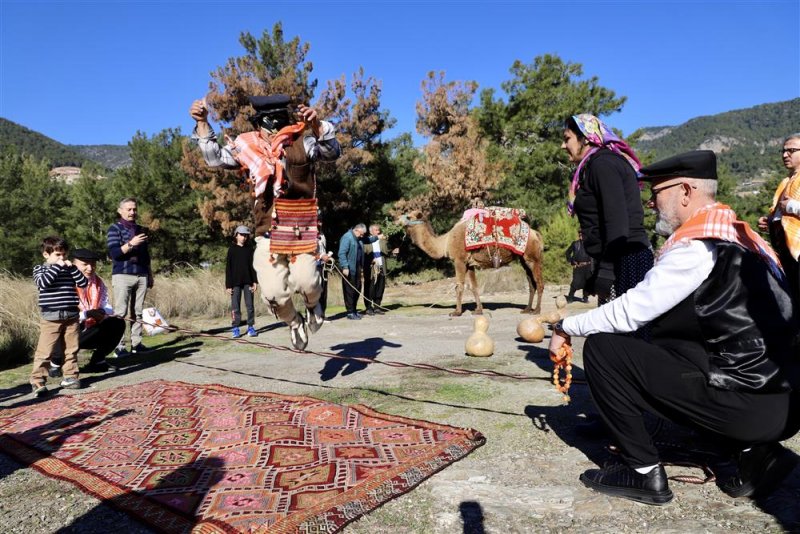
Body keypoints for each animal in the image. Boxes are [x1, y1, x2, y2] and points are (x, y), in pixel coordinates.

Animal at [398, 210, 544, 318]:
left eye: (408, 216)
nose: (396, 219)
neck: (445, 242)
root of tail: (536, 234)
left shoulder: (459, 260)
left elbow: (459, 287)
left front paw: (456, 312)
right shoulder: (469, 264)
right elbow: (474, 287)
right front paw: (478, 310)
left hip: (533, 257)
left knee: (539, 283)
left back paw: (537, 310)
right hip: (523, 258)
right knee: (531, 283)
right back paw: (527, 309)